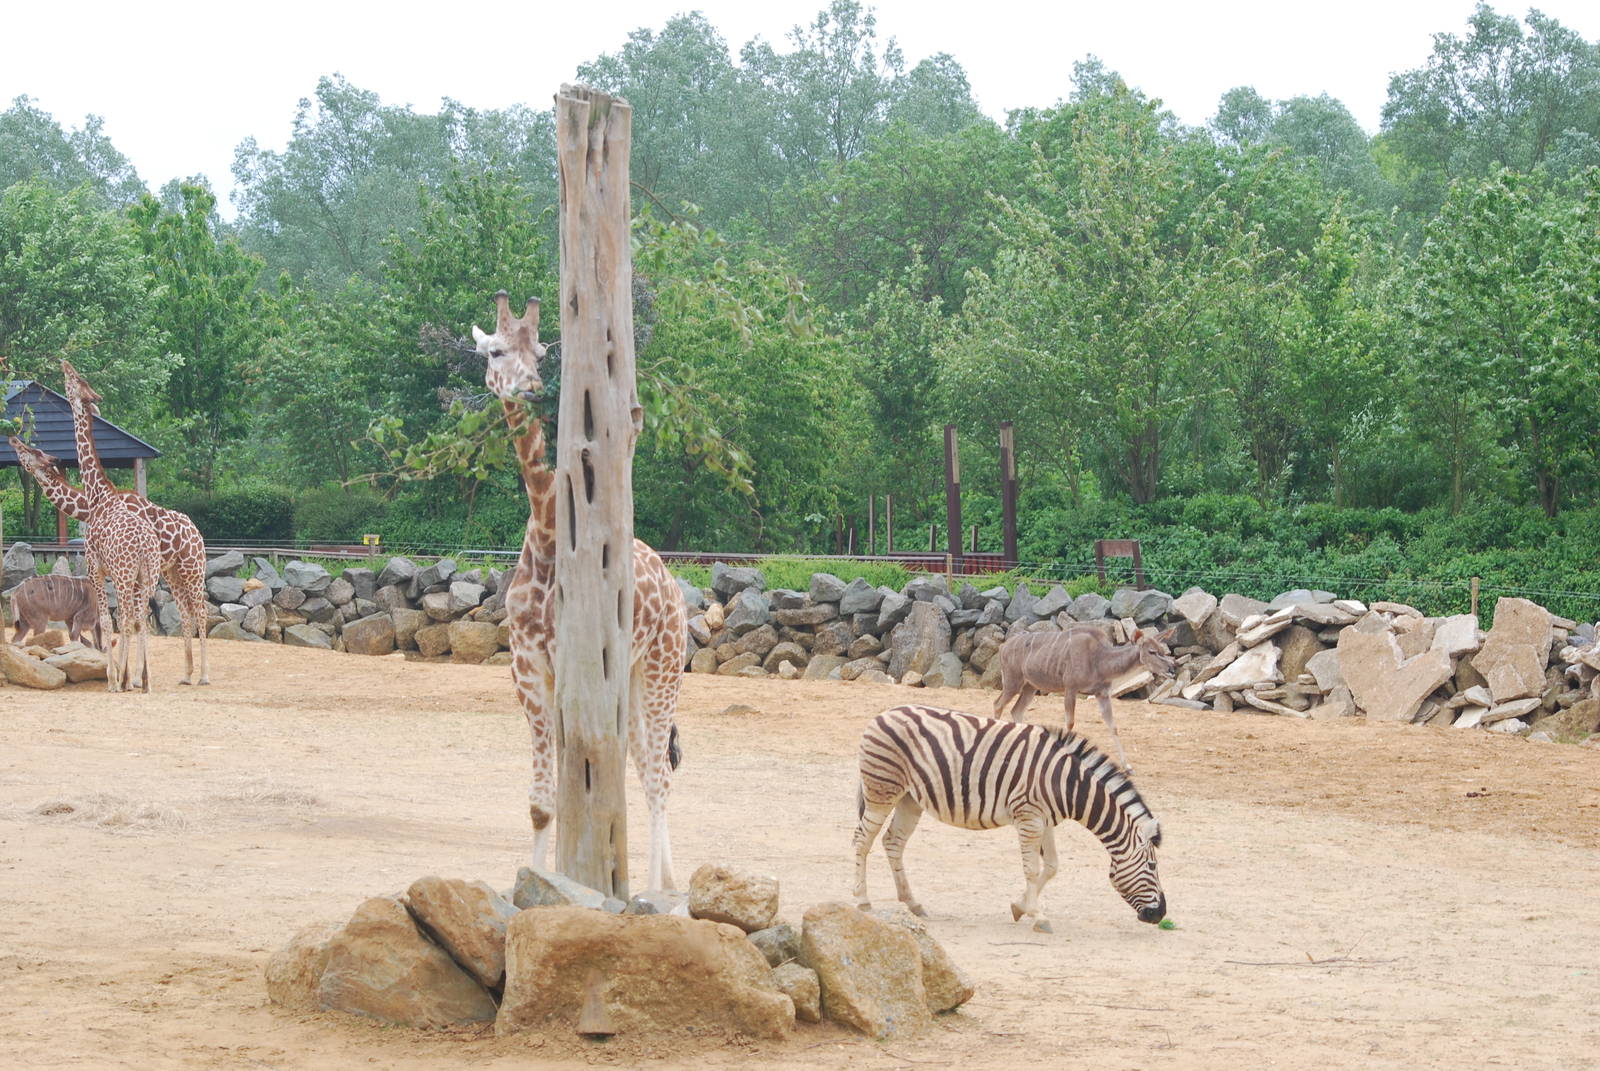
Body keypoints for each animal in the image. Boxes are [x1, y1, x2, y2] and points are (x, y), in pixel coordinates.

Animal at [56, 361, 210, 685]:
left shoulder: (98, 568)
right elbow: (133, 619)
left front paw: (121, 677)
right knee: (183, 613)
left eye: (78, 379)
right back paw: (185, 674)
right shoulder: (132, 576)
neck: (98, 497)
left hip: (192, 569)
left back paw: (202, 675)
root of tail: (197, 532)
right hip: (171, 573)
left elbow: (116, 619)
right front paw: (130, 675)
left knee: (200, 612)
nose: (65, 364)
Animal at [472, 292, 687, 891]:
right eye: (495, 350)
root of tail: (673, 583)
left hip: (663, 666)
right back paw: (664, 879)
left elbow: (565, 792)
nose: (529, 385)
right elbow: (543, 803)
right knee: (645, 763)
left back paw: (661, 888)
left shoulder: (572, 665)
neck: (547, 535)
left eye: (542, 353)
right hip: (632, 677)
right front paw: (536, 880)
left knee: (658, 773)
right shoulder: (526, 667)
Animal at [853, 704, 1166, 934]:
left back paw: (913, 903)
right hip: (883, 790)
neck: (1067, 784)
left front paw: (1019, 907)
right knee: (861, 840)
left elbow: (1051, 867)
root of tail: (883, 714)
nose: (1160, 914)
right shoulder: (1029, 817)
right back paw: (863, 901)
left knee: (893, 842)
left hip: (910, 799)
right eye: (1152, 866)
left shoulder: (1045, 820)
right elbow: (1031, 869)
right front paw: (1038, 916)